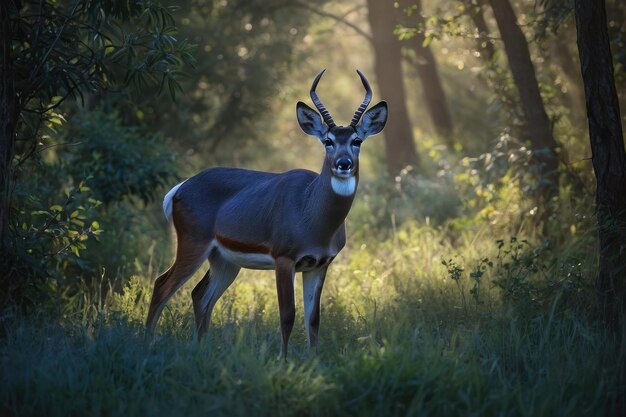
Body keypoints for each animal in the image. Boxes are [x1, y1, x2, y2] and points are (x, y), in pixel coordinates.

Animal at [147, 69, 388, 358]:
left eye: (357, 140)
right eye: (328, 141)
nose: (344, 163)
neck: (312, 216)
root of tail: (178, 190)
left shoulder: (320, 263)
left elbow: (314, 319)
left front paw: (314, 361)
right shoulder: (285, 257)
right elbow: (287, 315)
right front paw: (283, 361)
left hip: (224, 259)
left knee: (200, 294)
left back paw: (199, 349)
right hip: (193, 241)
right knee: (162, 284)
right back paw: (146, 342)